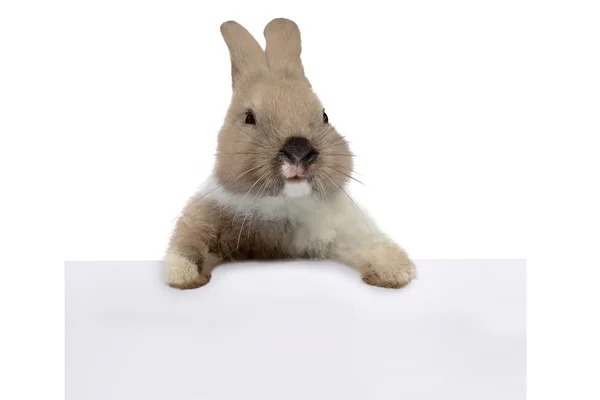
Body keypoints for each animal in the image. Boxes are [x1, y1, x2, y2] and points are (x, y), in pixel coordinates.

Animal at [164, 18, 418, 290]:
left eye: (325, 116)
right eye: (249, 118)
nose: (299, 152)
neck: (282, 203)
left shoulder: (348, 229)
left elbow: (371, 244)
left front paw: (396, 272)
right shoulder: (200, 217)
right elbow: (187, 245)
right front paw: (183, 275)